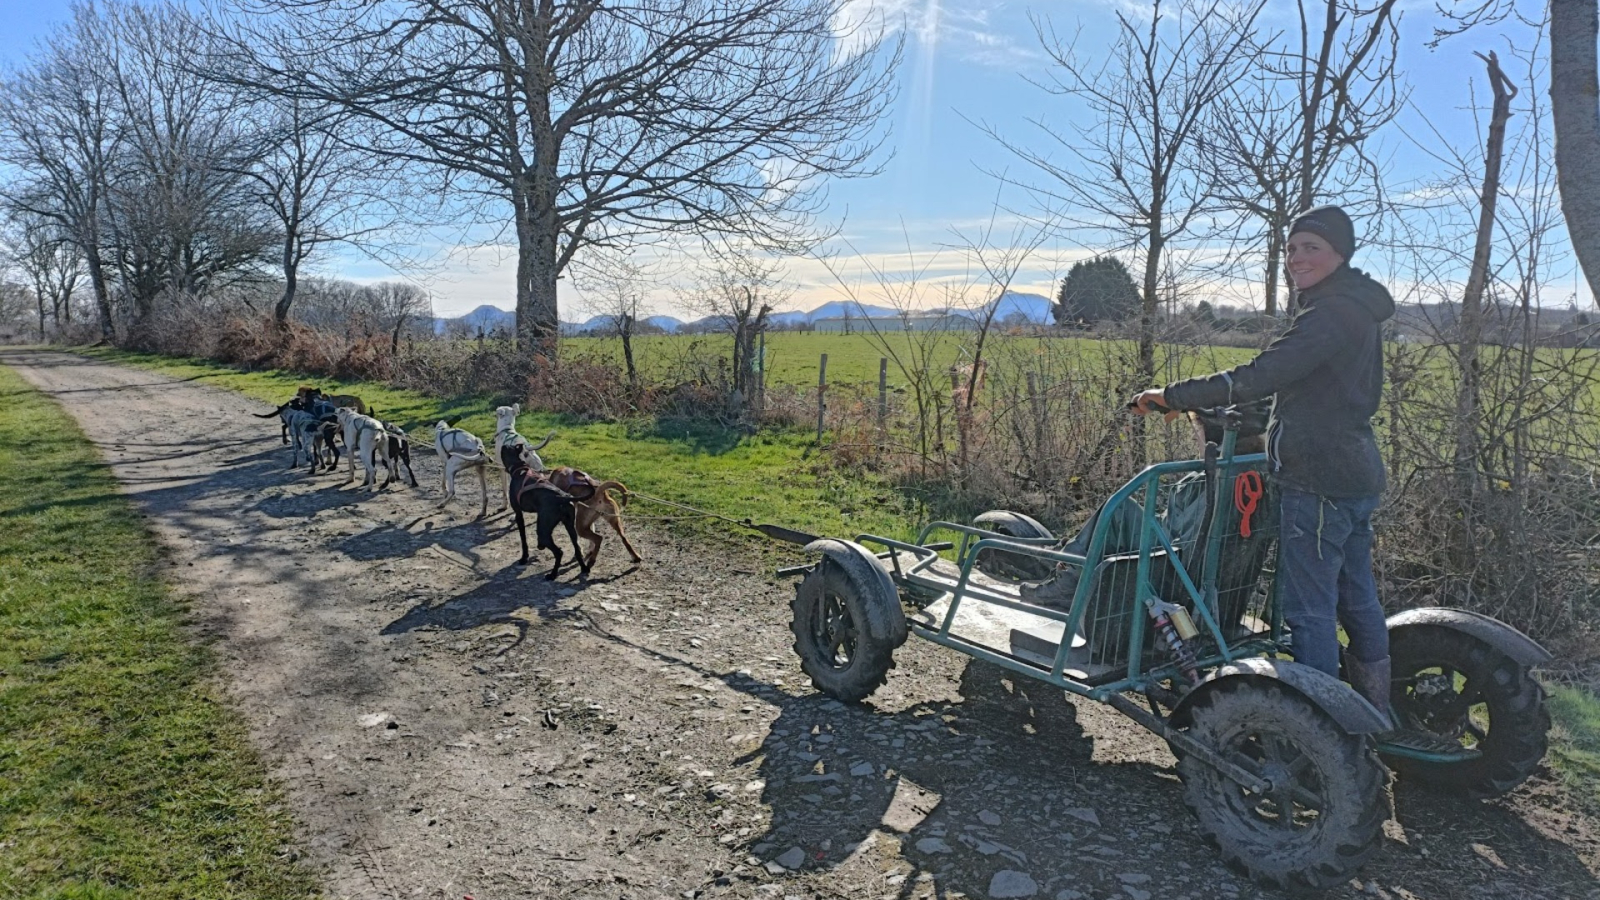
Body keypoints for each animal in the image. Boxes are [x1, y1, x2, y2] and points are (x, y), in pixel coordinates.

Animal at [496, 445, 592, 576]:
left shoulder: (519, 513)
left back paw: (552, 575)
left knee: (559, 552)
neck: (519, 468)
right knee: (577, 549)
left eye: (505, 448)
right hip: (570, 527)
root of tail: (563, 497)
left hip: (543, 532)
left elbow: (523, 539)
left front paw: (524, 558)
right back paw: (583, 568)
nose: (502, 445)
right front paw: (539, 547)